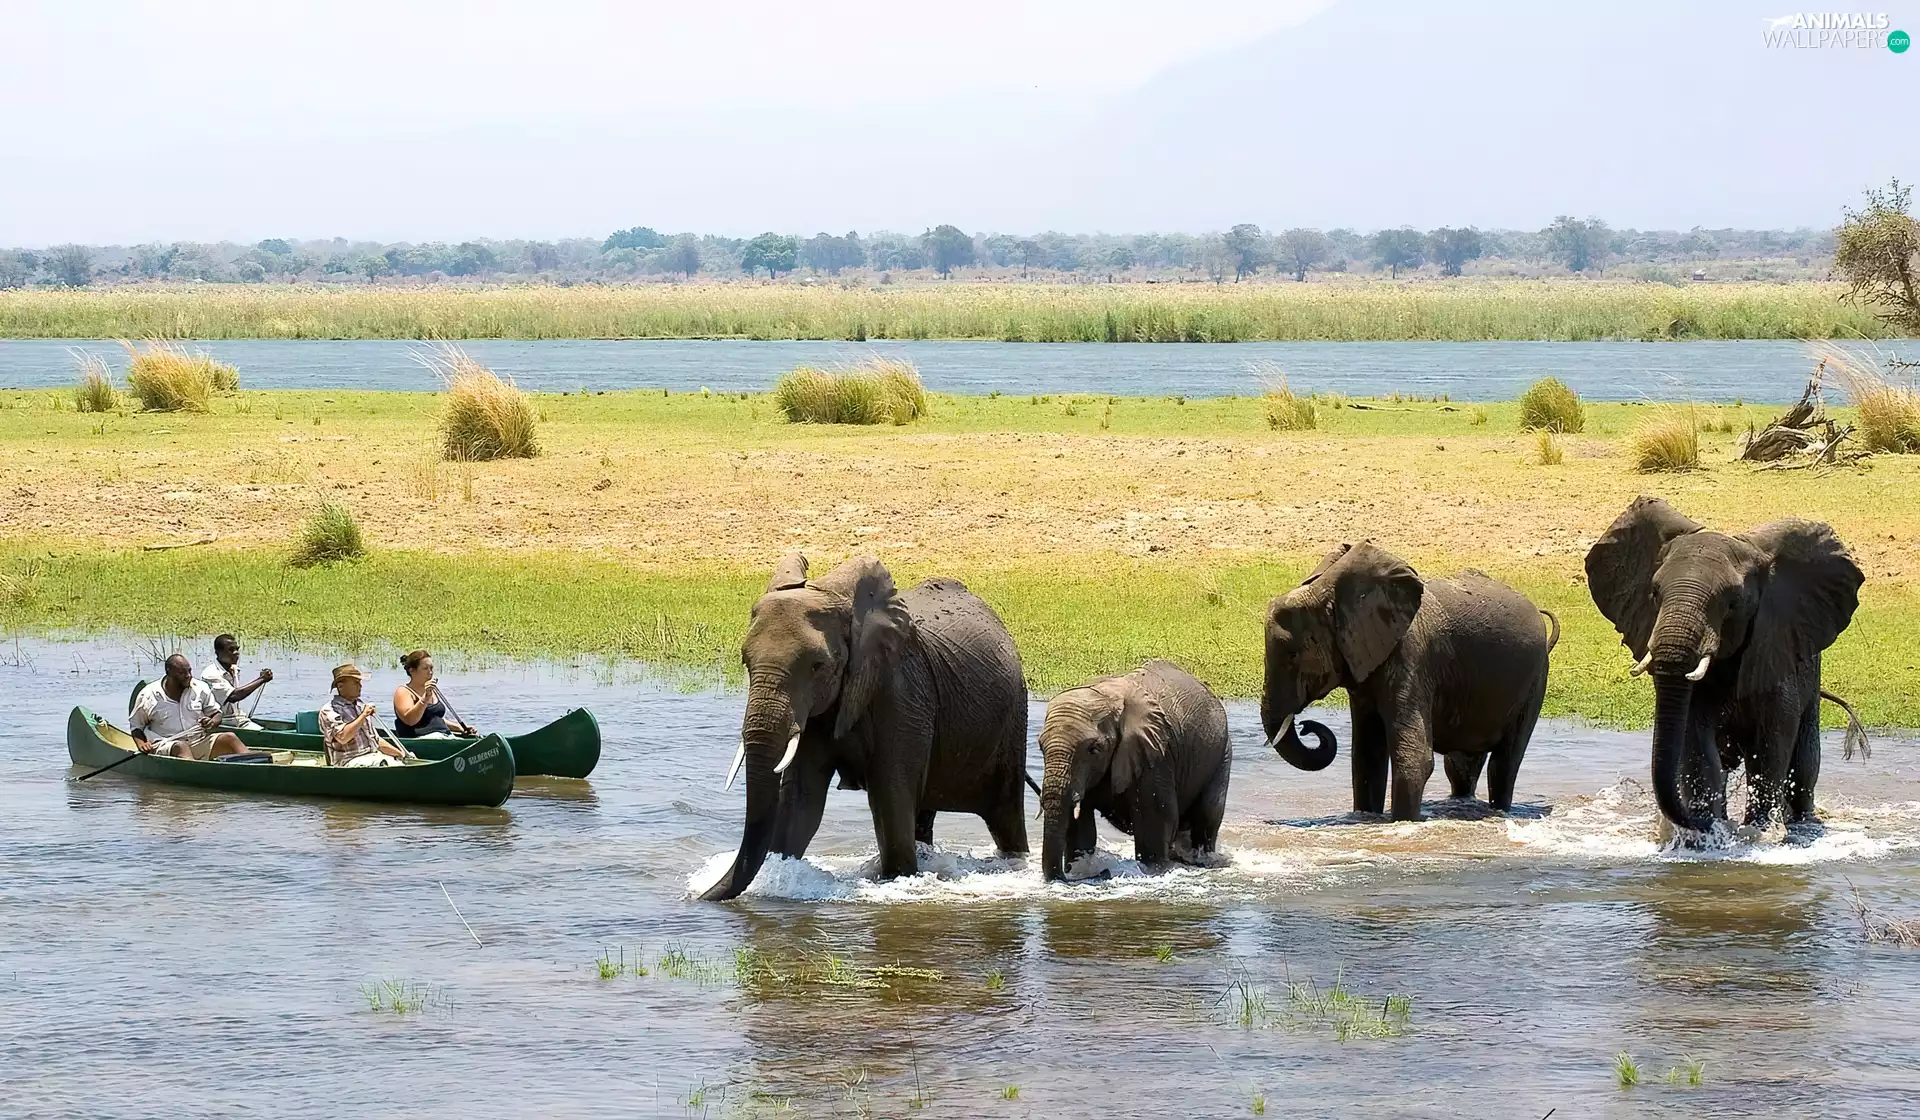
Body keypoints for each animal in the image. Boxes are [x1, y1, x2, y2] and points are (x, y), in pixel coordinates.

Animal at [699, 553, 1033, 901]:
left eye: (818, 666)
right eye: (745, 661)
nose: (697, 896)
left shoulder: (902, 693)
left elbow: (890, 798)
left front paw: (896, 878)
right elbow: (802, 802)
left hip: (1012, 720)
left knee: (1005, 815)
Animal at [1038, 660, 1232, 881]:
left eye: (1094, 749)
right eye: (1040, 747)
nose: (1104, 873)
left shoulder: (1156, 757)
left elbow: (1155, 823)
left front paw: (1152, 871)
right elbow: (1080, 827)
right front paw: (1082, 870)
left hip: (1222, 754)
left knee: (1207, 816)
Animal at [1261, 541, 1559, 821]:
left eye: (1292, 655)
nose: (1306, 727)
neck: (1330, 593)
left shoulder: (1412, 657)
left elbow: (1415, 759)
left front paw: (1404, 823)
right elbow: (1367, 759)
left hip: (1535, 679)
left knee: (1504, 764)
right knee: (1462, 766)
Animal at [1584, 496, 1867, 834]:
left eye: (1732, 602)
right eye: (1654, 593)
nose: (1689, 823)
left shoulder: (1772, 648)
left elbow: (1771, 744)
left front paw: (1759, 832)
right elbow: (1697, 744)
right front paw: (1710, 828)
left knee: (1804, 762)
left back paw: (1801, 822)